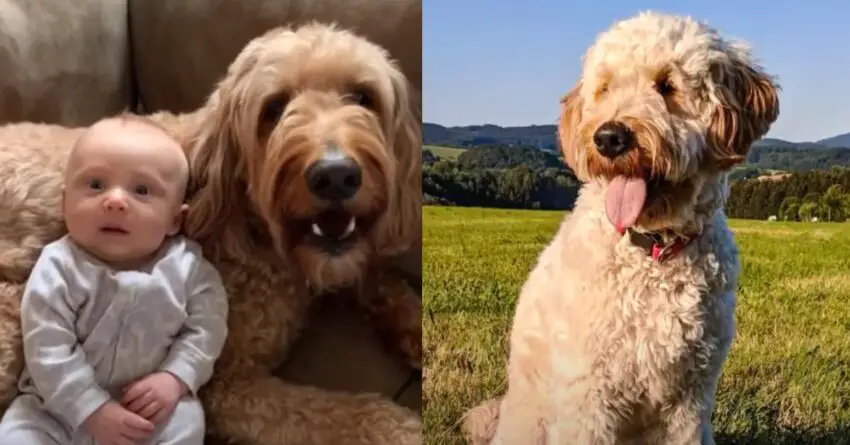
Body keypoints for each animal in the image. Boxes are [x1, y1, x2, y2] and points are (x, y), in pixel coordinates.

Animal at [0, 22, 420, 444]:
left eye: (363, 97)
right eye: (274, 108)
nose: (335, 175)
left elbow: (381, 280)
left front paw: (414, 329)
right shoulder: (228, 384)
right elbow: (323, 414)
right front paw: (398, 427)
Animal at [460, 10, 780, 444]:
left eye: (666, 84)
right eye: (605, 87)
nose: (609, 137)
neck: (654, 251)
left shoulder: (689, 401)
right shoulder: (589, 394)